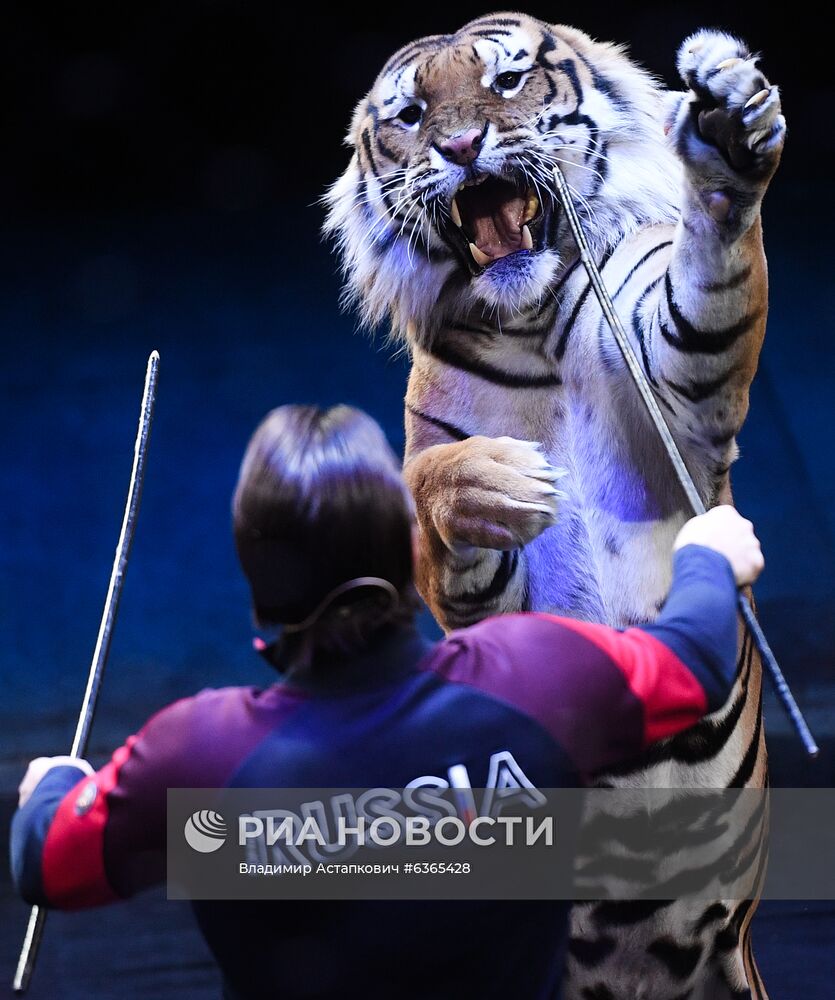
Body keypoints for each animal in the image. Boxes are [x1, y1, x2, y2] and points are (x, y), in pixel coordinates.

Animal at [324, 9, 784, 1000]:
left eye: (504, 82)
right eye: (412, 115)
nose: (462, 147)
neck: (531, 323)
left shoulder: (682, 371)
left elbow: (713, 272)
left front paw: (726, 129)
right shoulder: (472, 594)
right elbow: (434, 488)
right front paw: (503, 482)